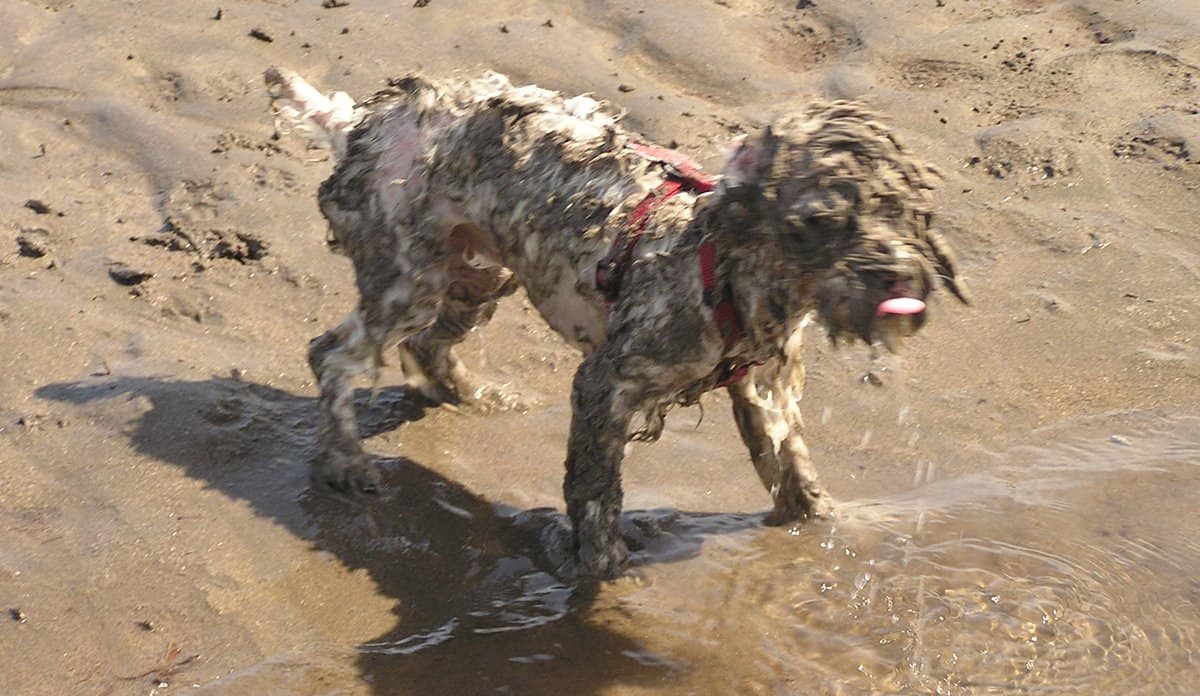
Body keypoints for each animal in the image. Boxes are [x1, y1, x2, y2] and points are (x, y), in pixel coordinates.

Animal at [267, 66, 969, 576]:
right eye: (822, 221)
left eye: (901, 210)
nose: (897, 279)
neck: (719, 265)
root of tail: (359, 120)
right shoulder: (607, 384)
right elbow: (595, 488)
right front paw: (601, 567)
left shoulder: (764, 390)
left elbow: (795, 473)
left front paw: (833, 528)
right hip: (408, 277)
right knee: (332, 354)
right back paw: (346, 461)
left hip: (477, 275)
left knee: (426, 347)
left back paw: (477, 397)